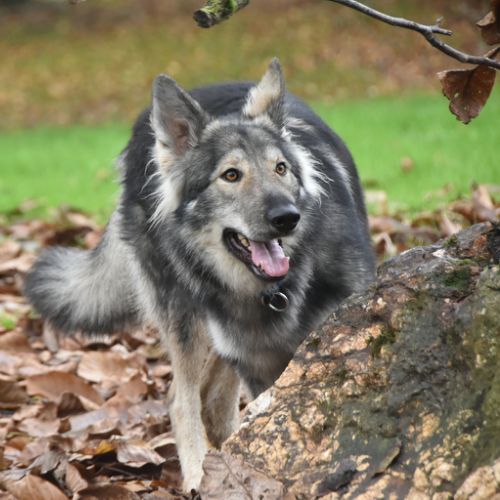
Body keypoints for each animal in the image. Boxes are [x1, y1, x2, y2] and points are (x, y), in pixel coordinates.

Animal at [24, 59, 375, 491]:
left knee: (215, 402)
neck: (277, 290)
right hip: (186, 318)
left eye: (280, 168)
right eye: (231, 175)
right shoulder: (259, 366)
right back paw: (198, 477)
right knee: (183, 399)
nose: (287, 217)